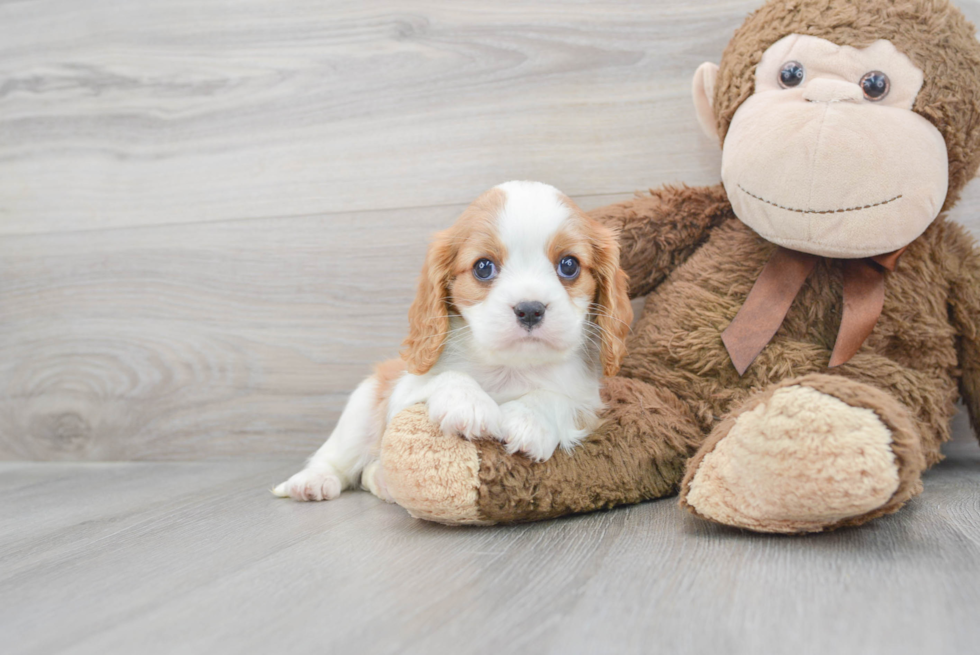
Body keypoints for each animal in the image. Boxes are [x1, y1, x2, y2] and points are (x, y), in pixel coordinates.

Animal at [272, 179, 632, 502]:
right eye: (483, 267)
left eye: (569, 265)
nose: (530, 309)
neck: (509, 366)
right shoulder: (403, 393)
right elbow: (445, 377)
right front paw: (468, 404)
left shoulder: (589, 406)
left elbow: (556, 398)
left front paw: (530, 418)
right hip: (362, 407)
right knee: (337, 457)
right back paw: (313, 481)